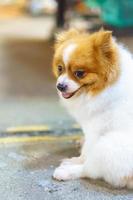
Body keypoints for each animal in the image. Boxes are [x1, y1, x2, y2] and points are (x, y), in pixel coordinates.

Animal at [52, 28, 133, 188]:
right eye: (60, 68)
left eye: (79, 73)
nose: (60, 85)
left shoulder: (96, 128)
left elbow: (87, 152)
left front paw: (78, 159)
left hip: (109, 146)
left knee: (89, 170)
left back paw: (67, 170)